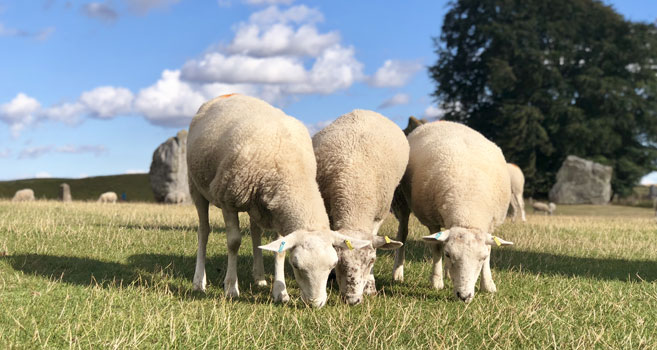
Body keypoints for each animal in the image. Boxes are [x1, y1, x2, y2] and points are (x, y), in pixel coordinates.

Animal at [186, 94, 368, 308]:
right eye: (296, 265)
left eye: (333, 264)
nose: (315, 304)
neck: (292, 171)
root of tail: (224, 96)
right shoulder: (228, 201)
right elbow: (234, 243)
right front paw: (231, 288)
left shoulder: (279, 212)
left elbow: (279, 250)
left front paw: (280, 292)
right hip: (196, 186)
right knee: (204, 231)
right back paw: (199, 281)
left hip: (255, 205)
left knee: (255, 232)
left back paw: (260, 278)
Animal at [312, 109, 404, 304]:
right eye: (338, 261)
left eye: (372, 261)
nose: (352, 300)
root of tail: (362, 111)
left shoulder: (378, 217)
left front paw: (370, 286)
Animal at [390, 121, 512, 304]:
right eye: (448, 254)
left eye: (481, 258)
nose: (464, 296)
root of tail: (443, 122)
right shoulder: (432, 219)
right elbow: (436, 248)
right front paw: (436, 281)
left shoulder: (490, 224)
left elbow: (490, 250)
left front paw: (488, 284)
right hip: (402, 200)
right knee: (403, 233)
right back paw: (398, 273)